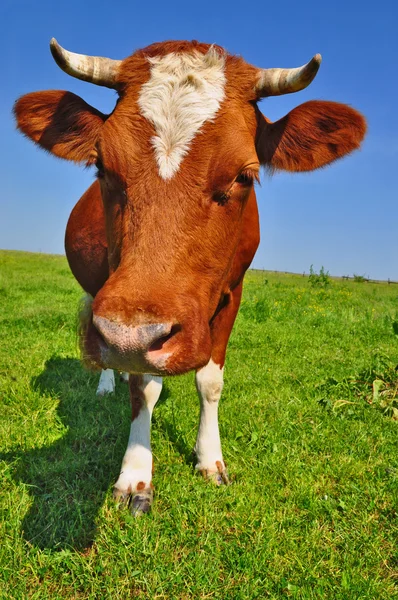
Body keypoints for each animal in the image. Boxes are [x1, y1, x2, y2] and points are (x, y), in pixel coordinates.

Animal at [14, 38, 364, 516]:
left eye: (244, 175)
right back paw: (107, 381)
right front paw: (136, 475)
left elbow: (210, 382)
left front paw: (209, 459)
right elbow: (142, 387)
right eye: (102, 167)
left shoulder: (232, 292)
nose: (130, 337)